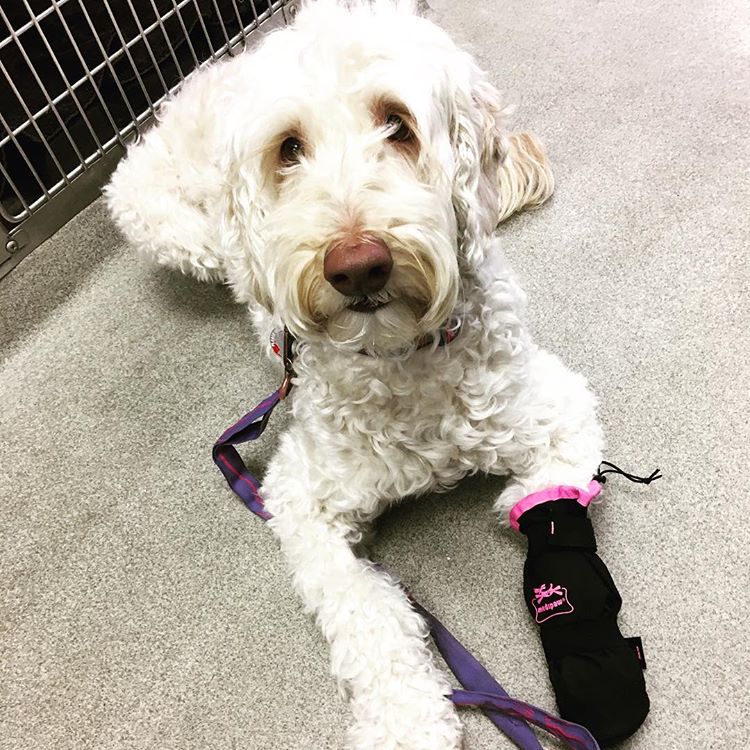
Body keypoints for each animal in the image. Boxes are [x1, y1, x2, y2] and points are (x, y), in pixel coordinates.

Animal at [106, 2, 604, 748]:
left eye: (397, 123)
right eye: (288, 148)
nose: (357, 265)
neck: (404, 362)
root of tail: (211, 69)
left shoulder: (554, 408)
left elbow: (551, 490)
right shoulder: (299, 499)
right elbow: (367, 611)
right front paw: (406, 722)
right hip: (155, 209)